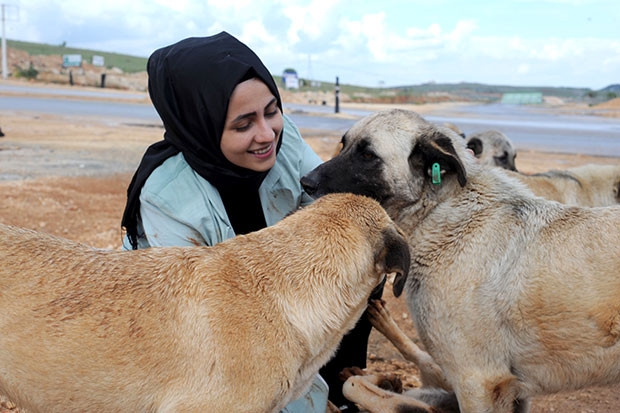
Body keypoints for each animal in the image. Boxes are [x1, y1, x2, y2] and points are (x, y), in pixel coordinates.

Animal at [302, 108, 620, 412]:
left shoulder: (476, 381)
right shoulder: (511, 392)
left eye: (368, 155)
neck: (438, 209)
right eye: (343, 145)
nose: (305, 182)